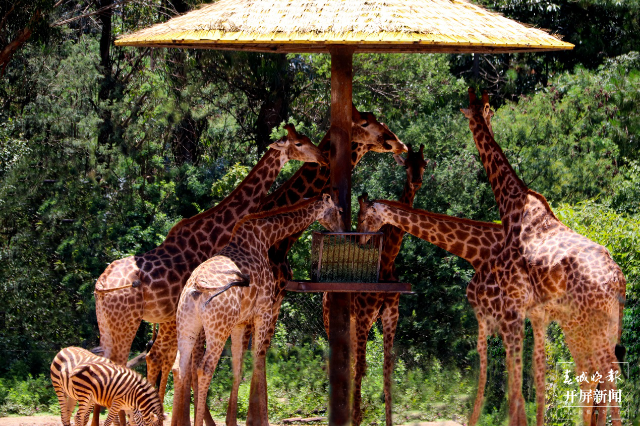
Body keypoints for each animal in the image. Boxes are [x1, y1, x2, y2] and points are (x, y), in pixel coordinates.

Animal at [92, 122, 328, 400]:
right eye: (299, 143)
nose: (323, 157)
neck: (214, 233)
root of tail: (101, 285)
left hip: (109, 323)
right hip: (129, 322)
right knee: (128, 362)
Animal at [171, 195, 344, 426]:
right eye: (339, 210)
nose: (342, 231)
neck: (265, 236)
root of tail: (197, 286)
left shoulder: (240, 322)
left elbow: (238, 367)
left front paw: (232, 421)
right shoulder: (264, 311)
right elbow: (257, 361)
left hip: (187, 324)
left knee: (179, 367)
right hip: (218, 328)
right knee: (204, 367)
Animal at [318, 144, 428, 426]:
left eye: (423, 164)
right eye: (406, 165)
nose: (416, 181)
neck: (388, 261)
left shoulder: (391, 314)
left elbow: (387, 370)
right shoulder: (366, 315)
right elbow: (362, 367)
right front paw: (356, 418)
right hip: (334, 319)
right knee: (344, 363)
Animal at [458, 87, 628, 426]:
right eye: (487, 111)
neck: (513, 205)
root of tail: (618, 279)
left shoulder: (515, 304)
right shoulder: (534, 311)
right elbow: (535, 369)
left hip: (593, 326)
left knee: (608, 372)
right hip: (605, 325)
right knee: (602, 373)